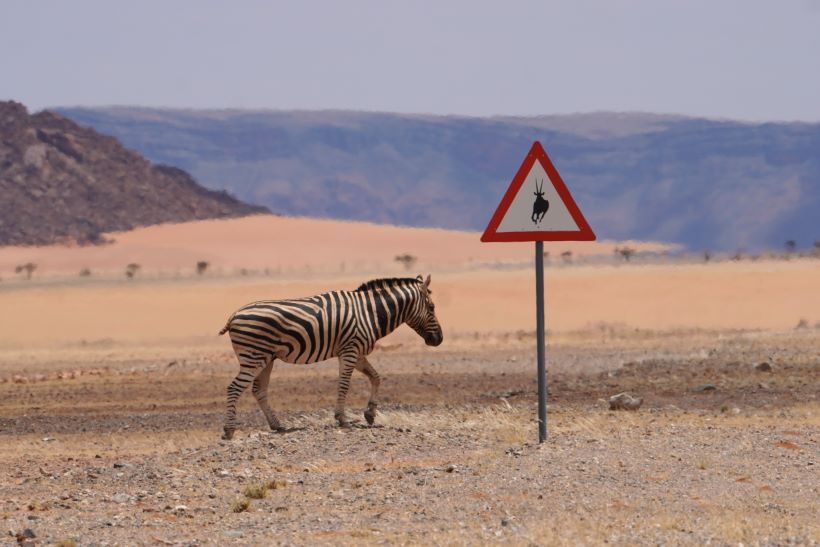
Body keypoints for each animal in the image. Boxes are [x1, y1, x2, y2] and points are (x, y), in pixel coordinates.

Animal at [218, 274, 443, 439]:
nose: (439, 339)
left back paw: (277, 425)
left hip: (266, 358)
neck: (370, 313)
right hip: (253, 356)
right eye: (432, 308)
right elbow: (344, 384)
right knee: (234, 388)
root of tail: (234, 315)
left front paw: (370, 413)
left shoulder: (357, 352)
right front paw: (342, 419)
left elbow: (376, 377)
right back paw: (229, 430)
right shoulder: (350, 349)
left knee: (259, 390)